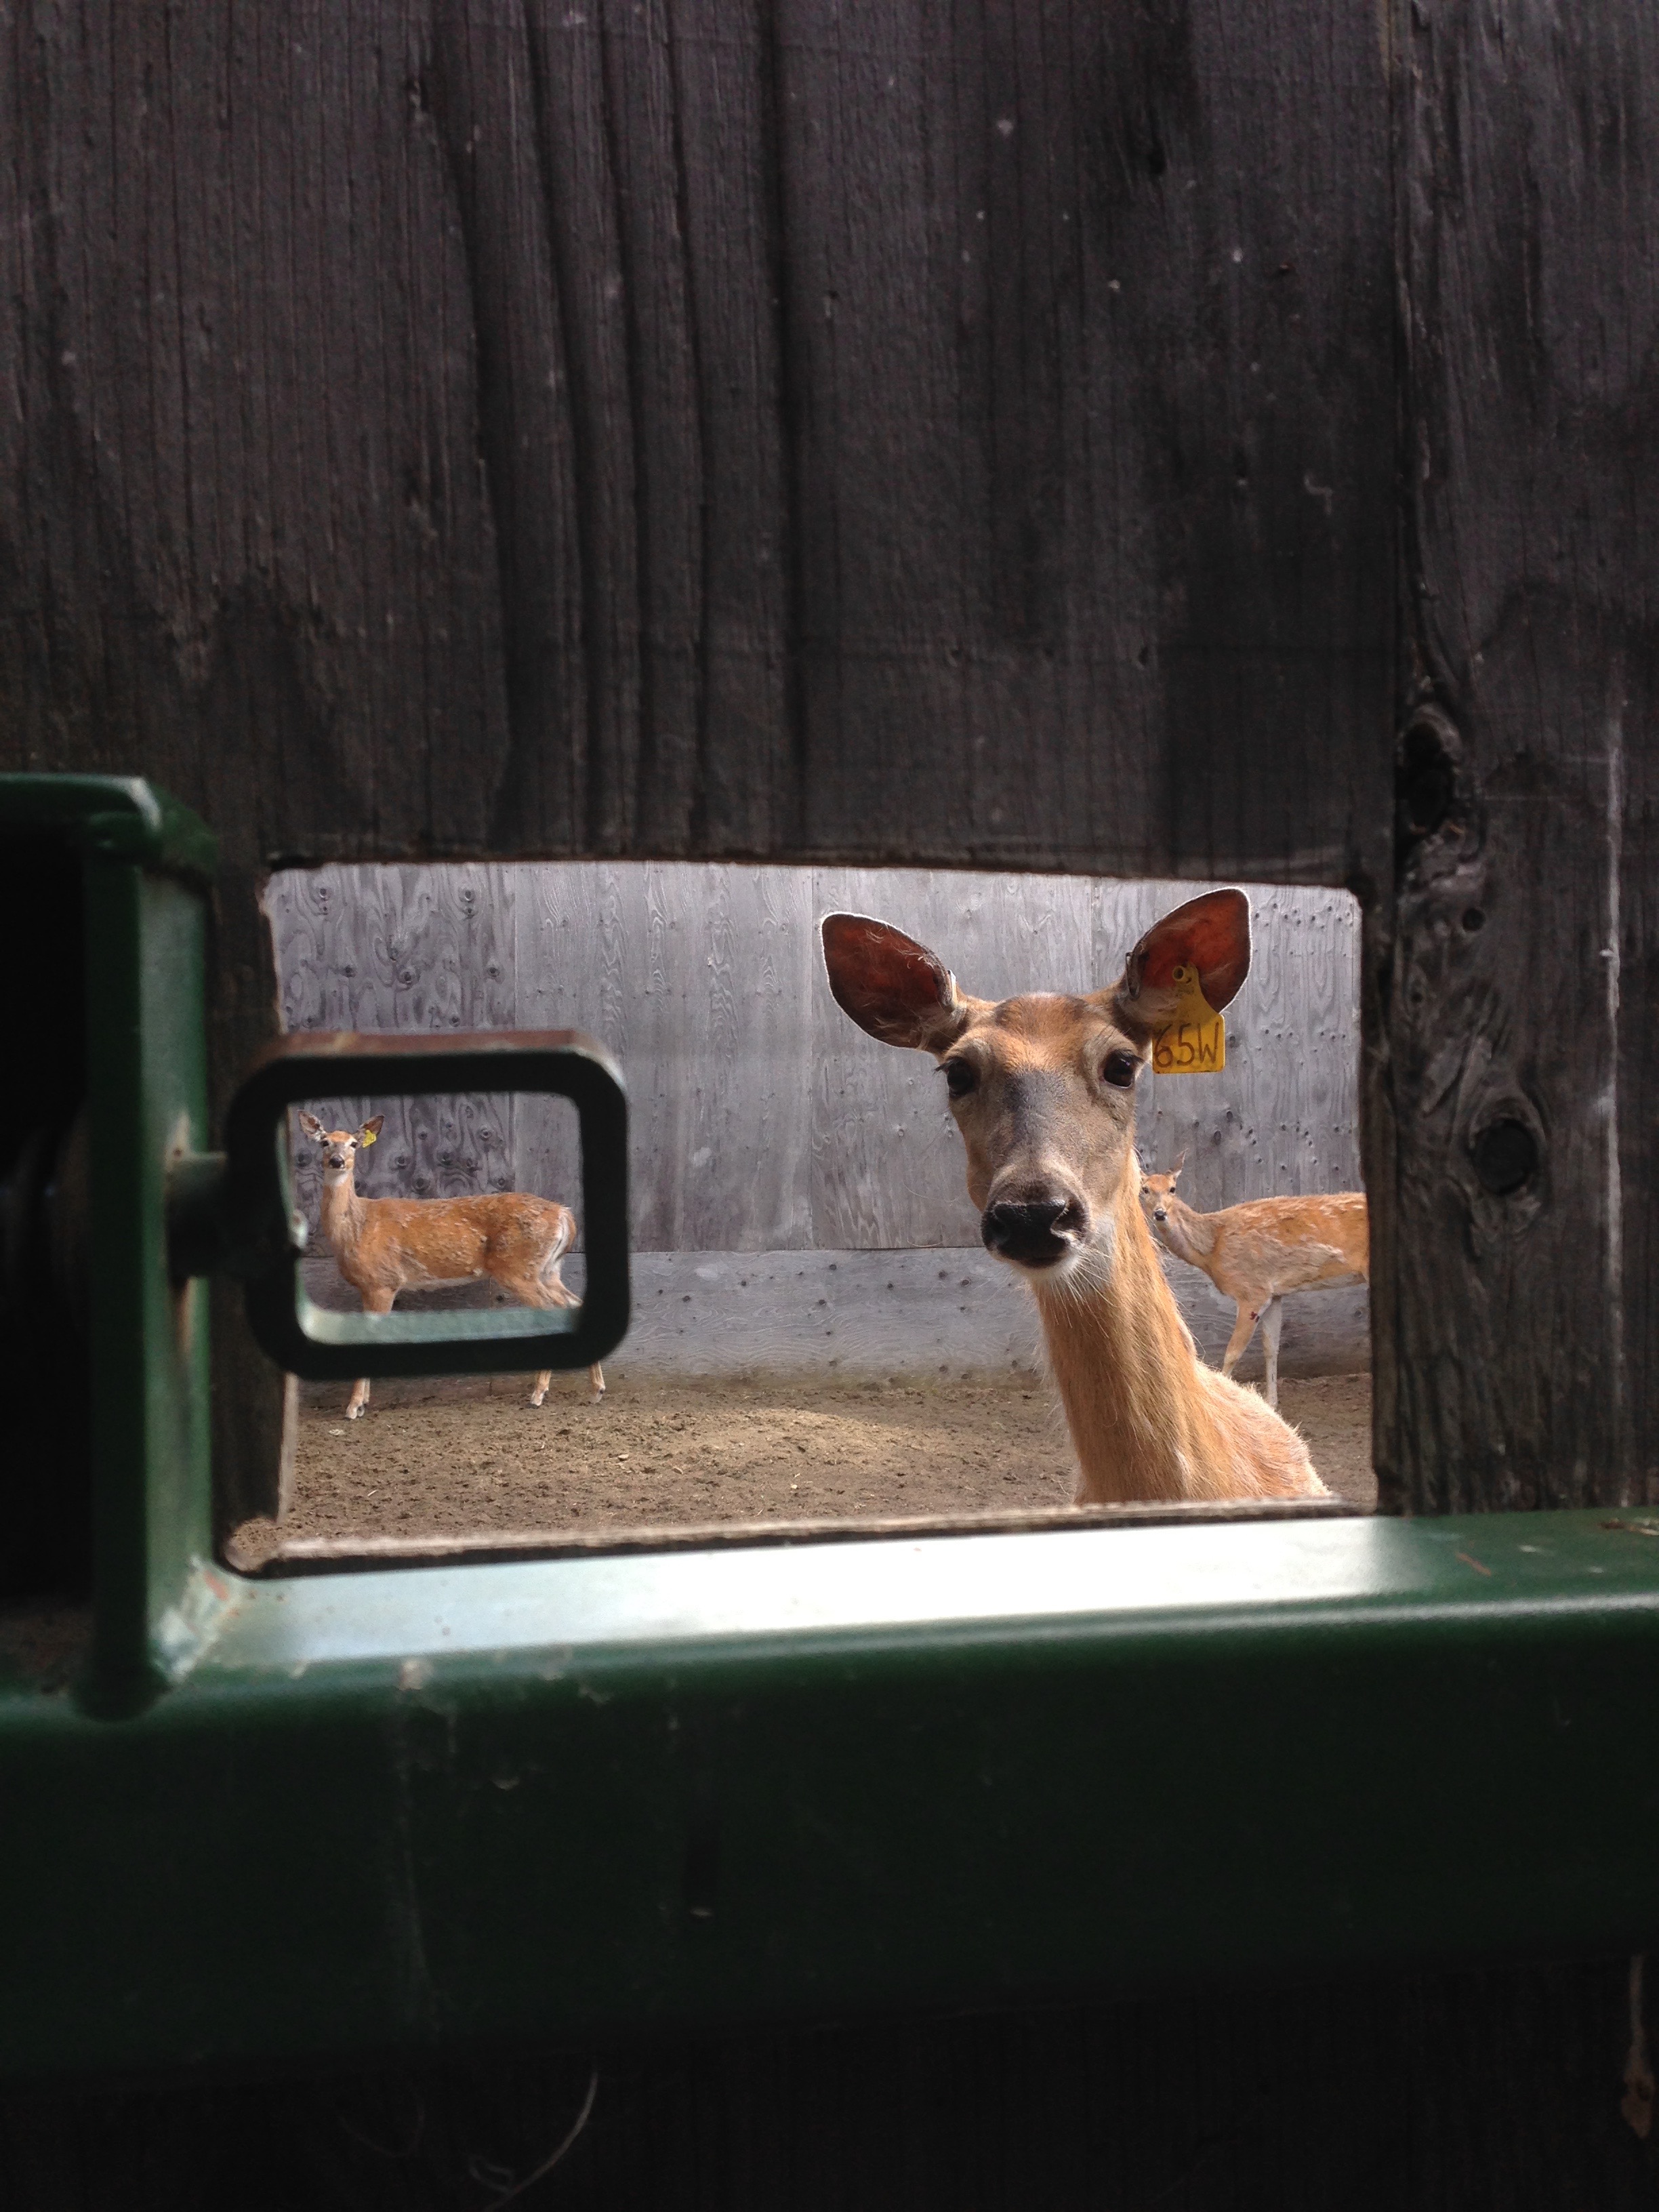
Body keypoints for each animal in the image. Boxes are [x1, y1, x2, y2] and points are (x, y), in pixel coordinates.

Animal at [300, 1115, 610, 1425]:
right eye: (325, 1142)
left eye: (354, 1144)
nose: (338, 1161)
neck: (356, 1228)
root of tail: (565, 1215)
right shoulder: (370, 1287)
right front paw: (362, 1402)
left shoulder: (382, 1281)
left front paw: (354, 1407)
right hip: (549, 1269)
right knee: (573, 1304)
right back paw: (596, 1389)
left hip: (519, 1268)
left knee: (551, 1311)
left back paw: (538, 1394)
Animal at [1141, 1168, 1380, 1406]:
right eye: (1145, 1189)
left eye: (1173, 1188)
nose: (1160, 1214)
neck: (1213, 1248)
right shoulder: (1274, 1293)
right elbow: (1271, 1347)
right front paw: (1272, 1403)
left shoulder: (1252, 1290)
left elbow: (1233, 1352)